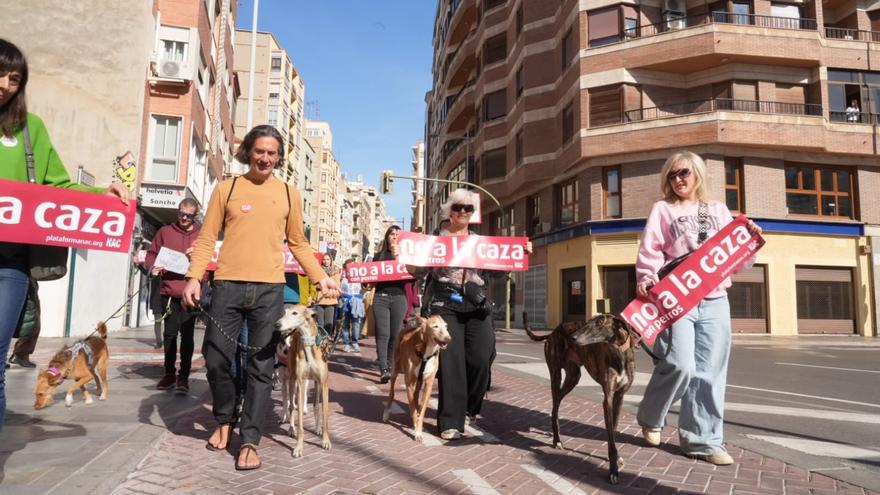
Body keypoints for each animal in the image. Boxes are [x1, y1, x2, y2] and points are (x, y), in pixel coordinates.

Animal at [276, 304, 330, 460]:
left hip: (317, 384)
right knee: (291, 406)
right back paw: (291, 429)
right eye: (285, 312)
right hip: (292, 380)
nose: (277, 325)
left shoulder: (324, 384)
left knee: (316, 405)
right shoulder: (299, 383)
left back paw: (317, 428)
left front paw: (326, 441)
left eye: (295, 313)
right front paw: (298, 448)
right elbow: (299, 419)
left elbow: (324, 415)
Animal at [382, 316, 450, 444]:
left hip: (418, 381)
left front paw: (418, 426)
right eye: (435, 326)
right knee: (392, 393)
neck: (426, 352)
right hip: (395, 371)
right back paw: (386, 414)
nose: (448, 338)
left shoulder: (428, 383)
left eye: (446, 326)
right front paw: (416, 430)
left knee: (416, 395)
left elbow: (421, 408)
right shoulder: (408, 382)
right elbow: (412, 407)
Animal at [524, 314, 636, 484]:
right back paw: (557, 440)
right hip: (556, 374)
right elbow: (610, 436)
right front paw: (613, 471)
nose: (572, 337)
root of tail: (553, 332)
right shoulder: (608, 399)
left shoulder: (619, 397)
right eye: (588, 322)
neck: (619, 352)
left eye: (599, 323)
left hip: (573, 377)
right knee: (555, 406)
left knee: (557, 401)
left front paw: (616, 459)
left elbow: (614, 431)